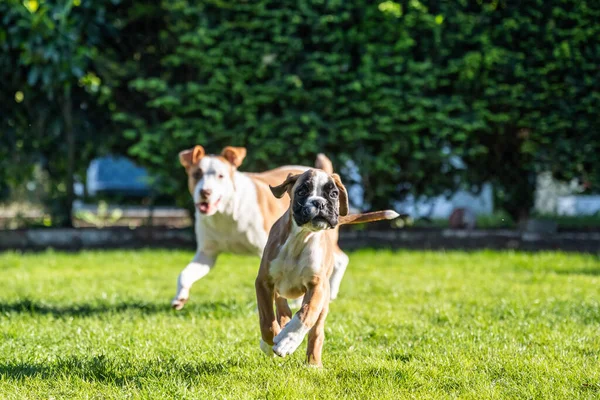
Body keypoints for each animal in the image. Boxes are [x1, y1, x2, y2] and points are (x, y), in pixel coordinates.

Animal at [171, 146, 352, 310]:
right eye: (196, 175)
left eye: (220, 176)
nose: (205, 192)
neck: (225, 213)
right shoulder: (206, 254)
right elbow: (184, 274)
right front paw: (180, 297)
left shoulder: (265, 251)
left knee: (341, 259)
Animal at [254, 167, 398, 368]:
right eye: (301, 192)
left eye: (333, 194)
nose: (319, 203)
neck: (300, 239)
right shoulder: (264, 282)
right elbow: (266, 319)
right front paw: (268, 344)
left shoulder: (317, 286)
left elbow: (305, 315)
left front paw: (288, 341)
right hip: (280, 290)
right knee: (283, 310)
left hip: (323, 302)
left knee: (315, 331)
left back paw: (313, 363)